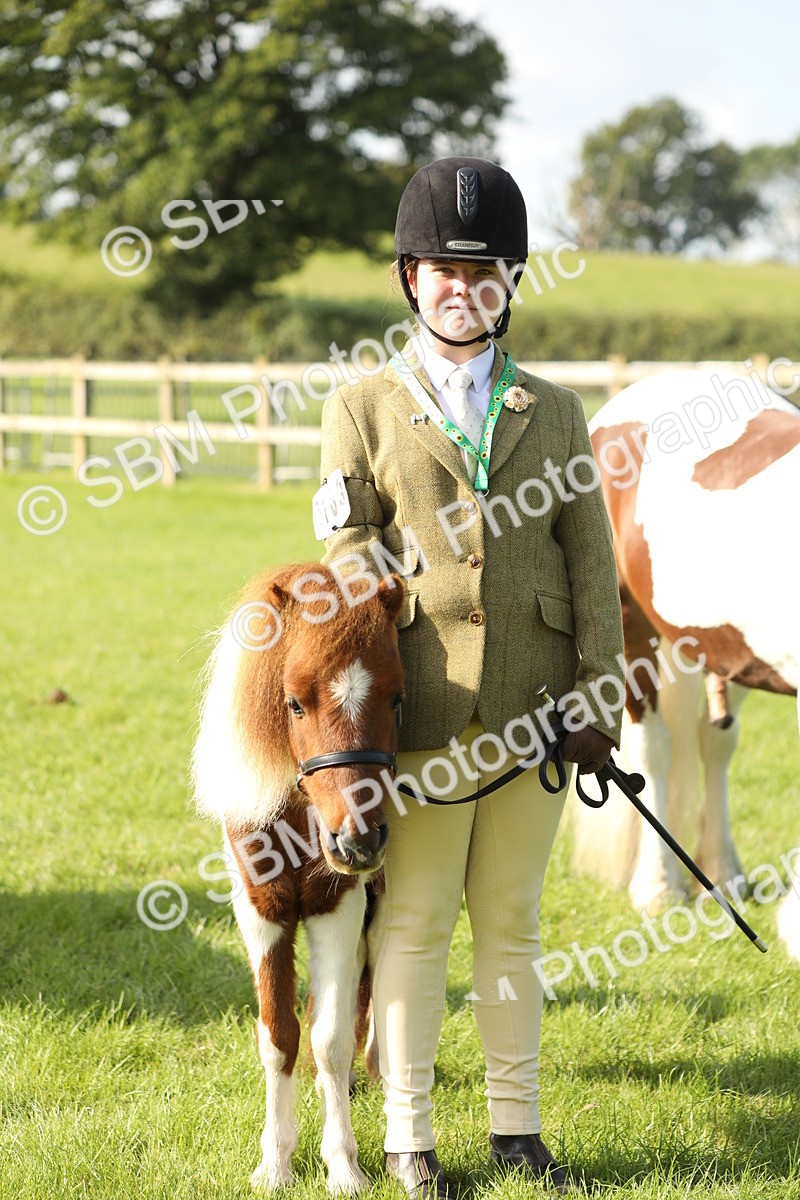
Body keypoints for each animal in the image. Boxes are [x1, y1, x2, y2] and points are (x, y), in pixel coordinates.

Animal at [192, 562, 406, 1192]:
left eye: (397, 697)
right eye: (293, 704)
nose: (359, 840)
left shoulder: (338, 904)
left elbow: (329, 1039)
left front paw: (343, 1167)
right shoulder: (260, 911)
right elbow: (278, 1035)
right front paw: (275, 1164)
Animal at [570, 370, 800, 954]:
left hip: (727, 651)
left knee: (714, 746)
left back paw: (725, 873)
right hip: (630, 632)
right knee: (654, 748)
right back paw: (657, 888)